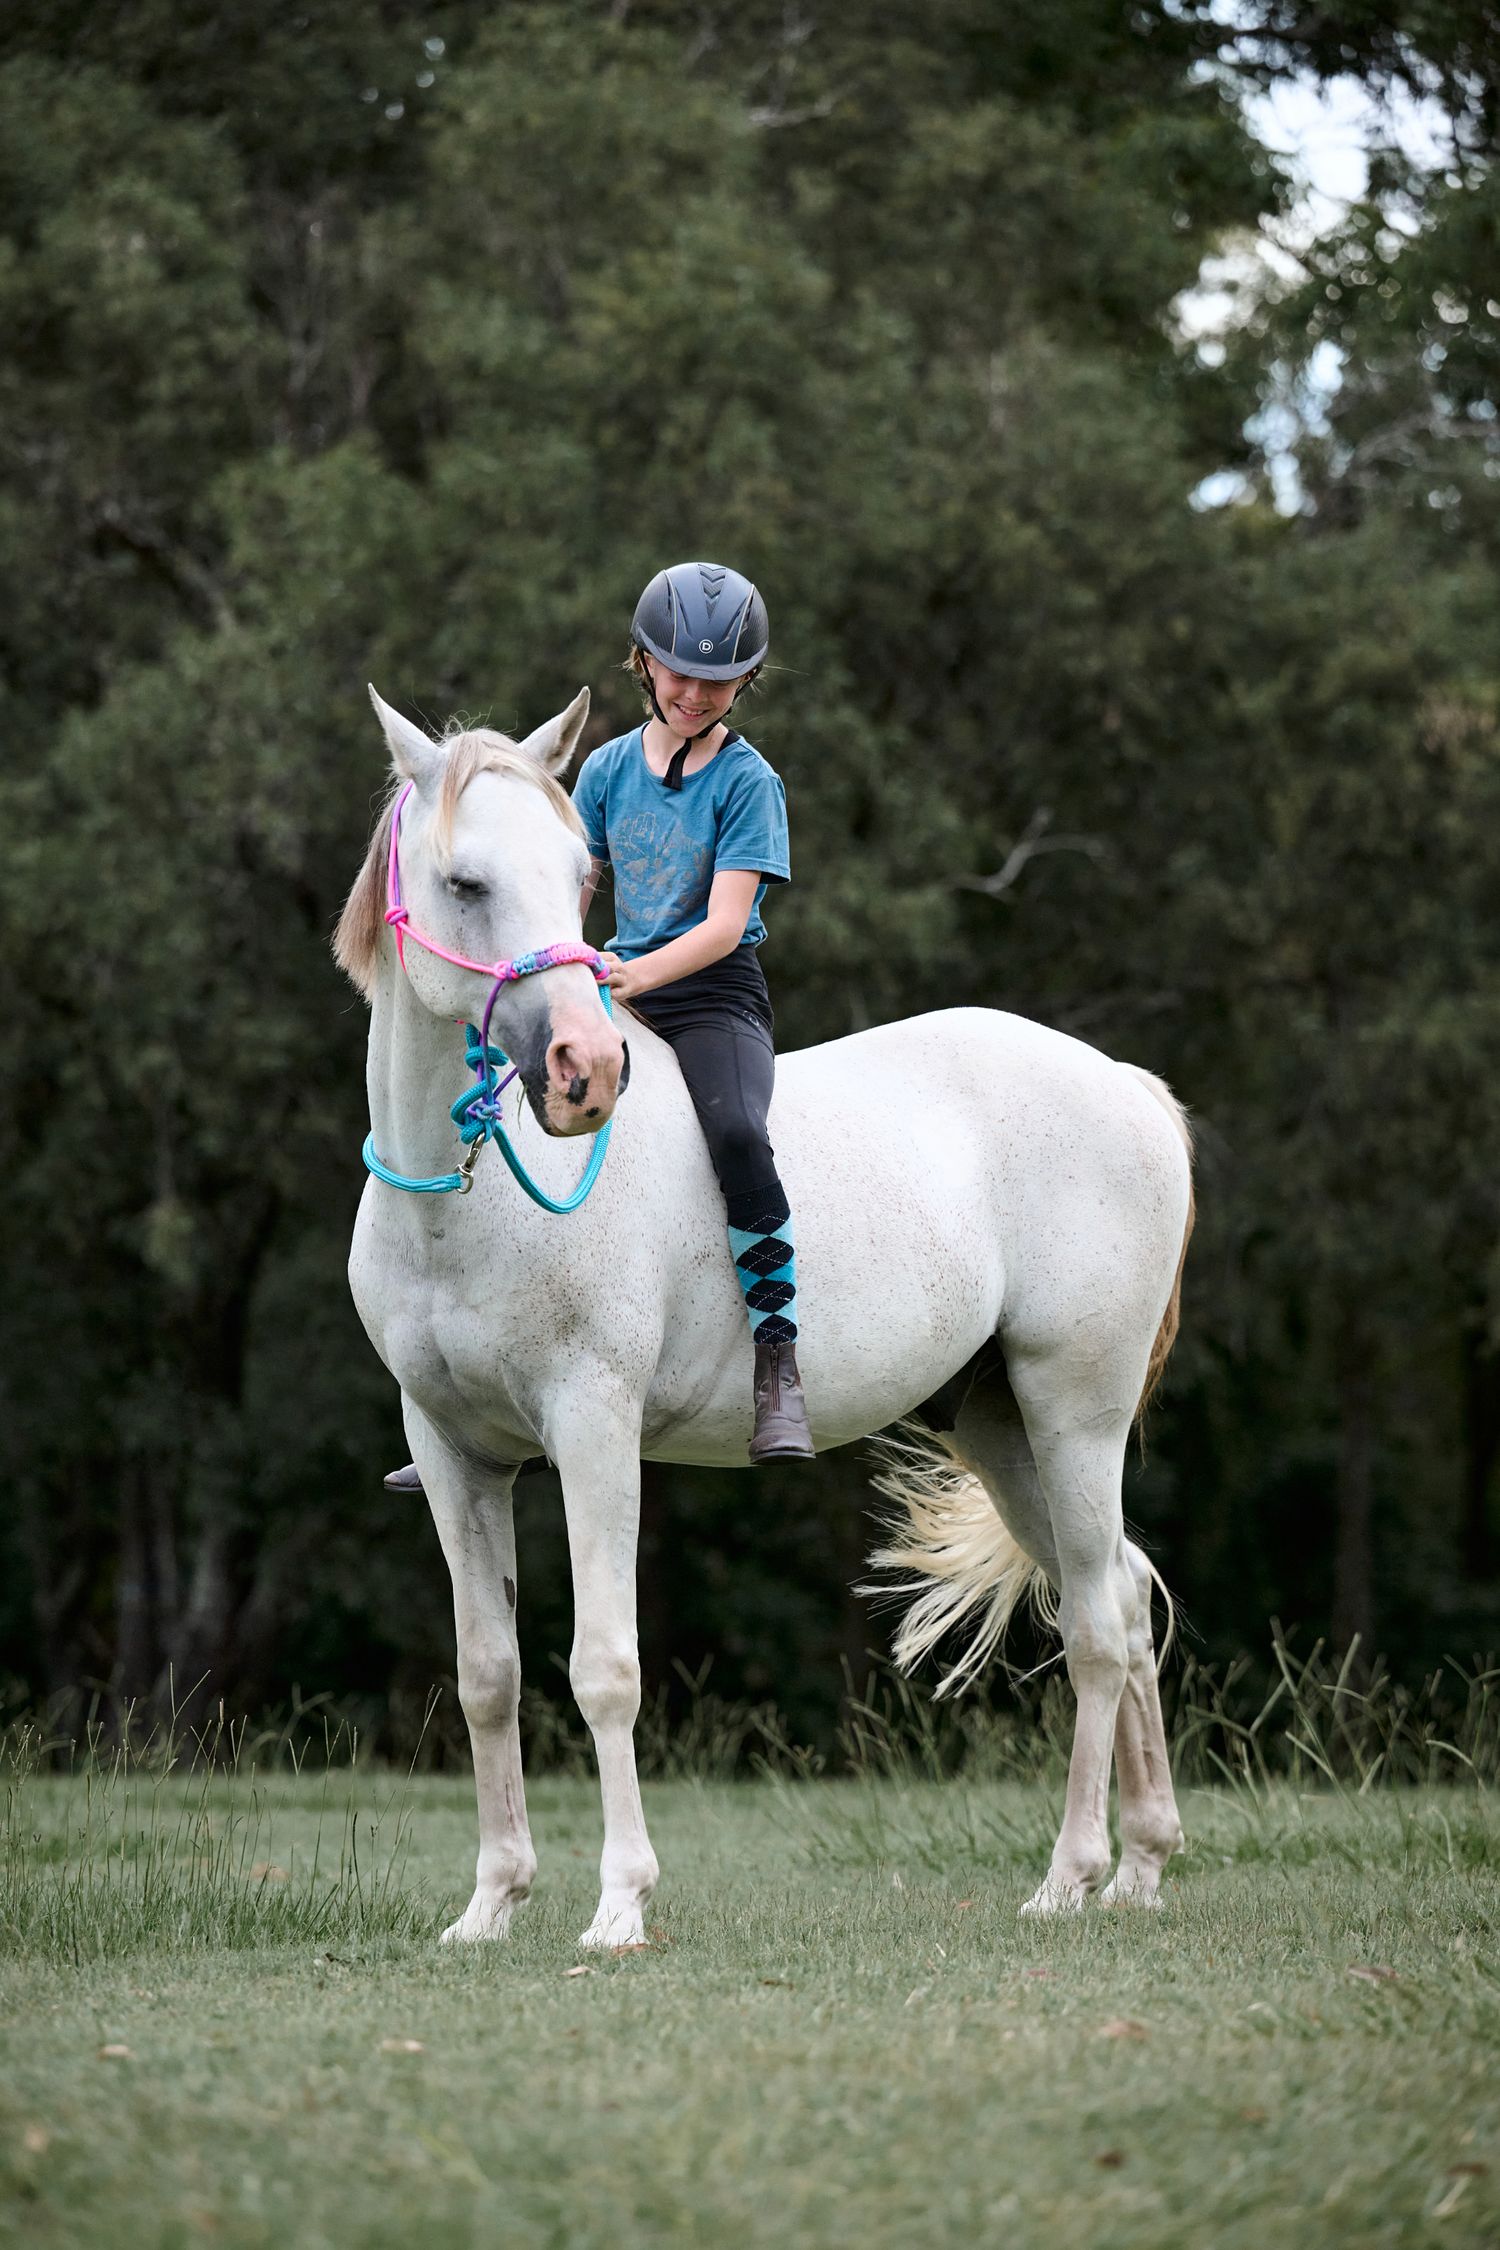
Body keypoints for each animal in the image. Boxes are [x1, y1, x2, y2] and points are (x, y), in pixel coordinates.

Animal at [335, 686, 1195, 1945]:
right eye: (466, 882)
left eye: (575, 873)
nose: (584, 1070)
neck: (467, 1197)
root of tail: (1128, 1086)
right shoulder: (451, 1455)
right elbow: (489, 1676)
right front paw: (490, 1907)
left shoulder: (593, 1433)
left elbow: (605, 1668)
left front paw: (619, 1907)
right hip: (1003, 1432)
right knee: (1125, 1601)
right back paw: (1139, 1866)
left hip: (1072, 1415)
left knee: (1091, 1625)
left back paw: (1068, 1875)